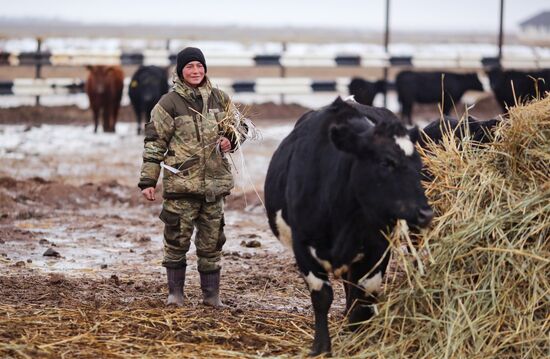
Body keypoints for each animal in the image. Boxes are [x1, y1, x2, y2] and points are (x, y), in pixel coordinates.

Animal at [264, 96, 436, 358]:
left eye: (418, 165)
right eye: (386, 162)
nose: (425, 213)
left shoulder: (377, 247)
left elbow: (363, 299)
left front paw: (358, 337)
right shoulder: (302, 246)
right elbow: (322, 296)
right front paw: (321, 347)